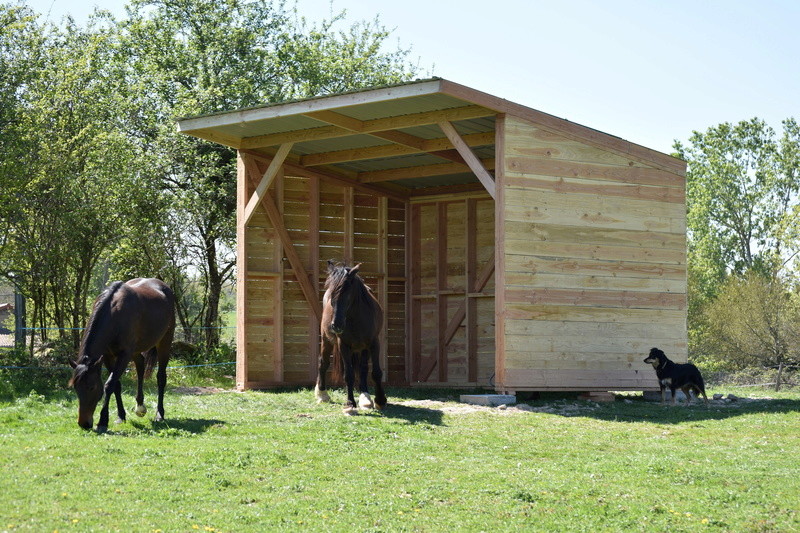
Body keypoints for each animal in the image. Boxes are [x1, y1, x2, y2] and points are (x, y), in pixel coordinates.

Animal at [69, 276, 175, 430]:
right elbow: (116, 385)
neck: (114, 313)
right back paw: (140, 406)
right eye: (76, 388)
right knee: (140, 366)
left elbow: (109, 385)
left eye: (92, 387)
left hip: (164, 343)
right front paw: (121, 416)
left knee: (161, 377)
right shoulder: (108, 356)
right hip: (135, 350)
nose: (84, 423)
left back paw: (159, 414)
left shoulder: (124, 355)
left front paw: (103, 421)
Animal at [314, 260, 386, 414]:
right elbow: (349, 374)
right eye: (332, 294)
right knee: (323, 363)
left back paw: (366, 398)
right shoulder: (344, 345)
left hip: (363, 349)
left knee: (363, 369)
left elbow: (376, 372)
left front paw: (380, 401)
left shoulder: (373, 343)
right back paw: (322, 394)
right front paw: (350, 403)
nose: (336, 325)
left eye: (347, 293)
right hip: (326, 340)